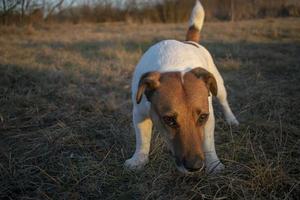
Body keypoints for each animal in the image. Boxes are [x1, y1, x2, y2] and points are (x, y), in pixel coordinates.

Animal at [124, 0, 239, 173]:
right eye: (169, 120)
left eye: (202, 117)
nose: (195, 166)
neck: (173, 65)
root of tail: (190, 41)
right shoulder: (139, 112)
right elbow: (142, 141)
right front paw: (138, 160)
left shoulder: (209, 115)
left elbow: (208, 143)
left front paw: (214, 164)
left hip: (218, 85)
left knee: (224, 101)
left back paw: (231, 119)